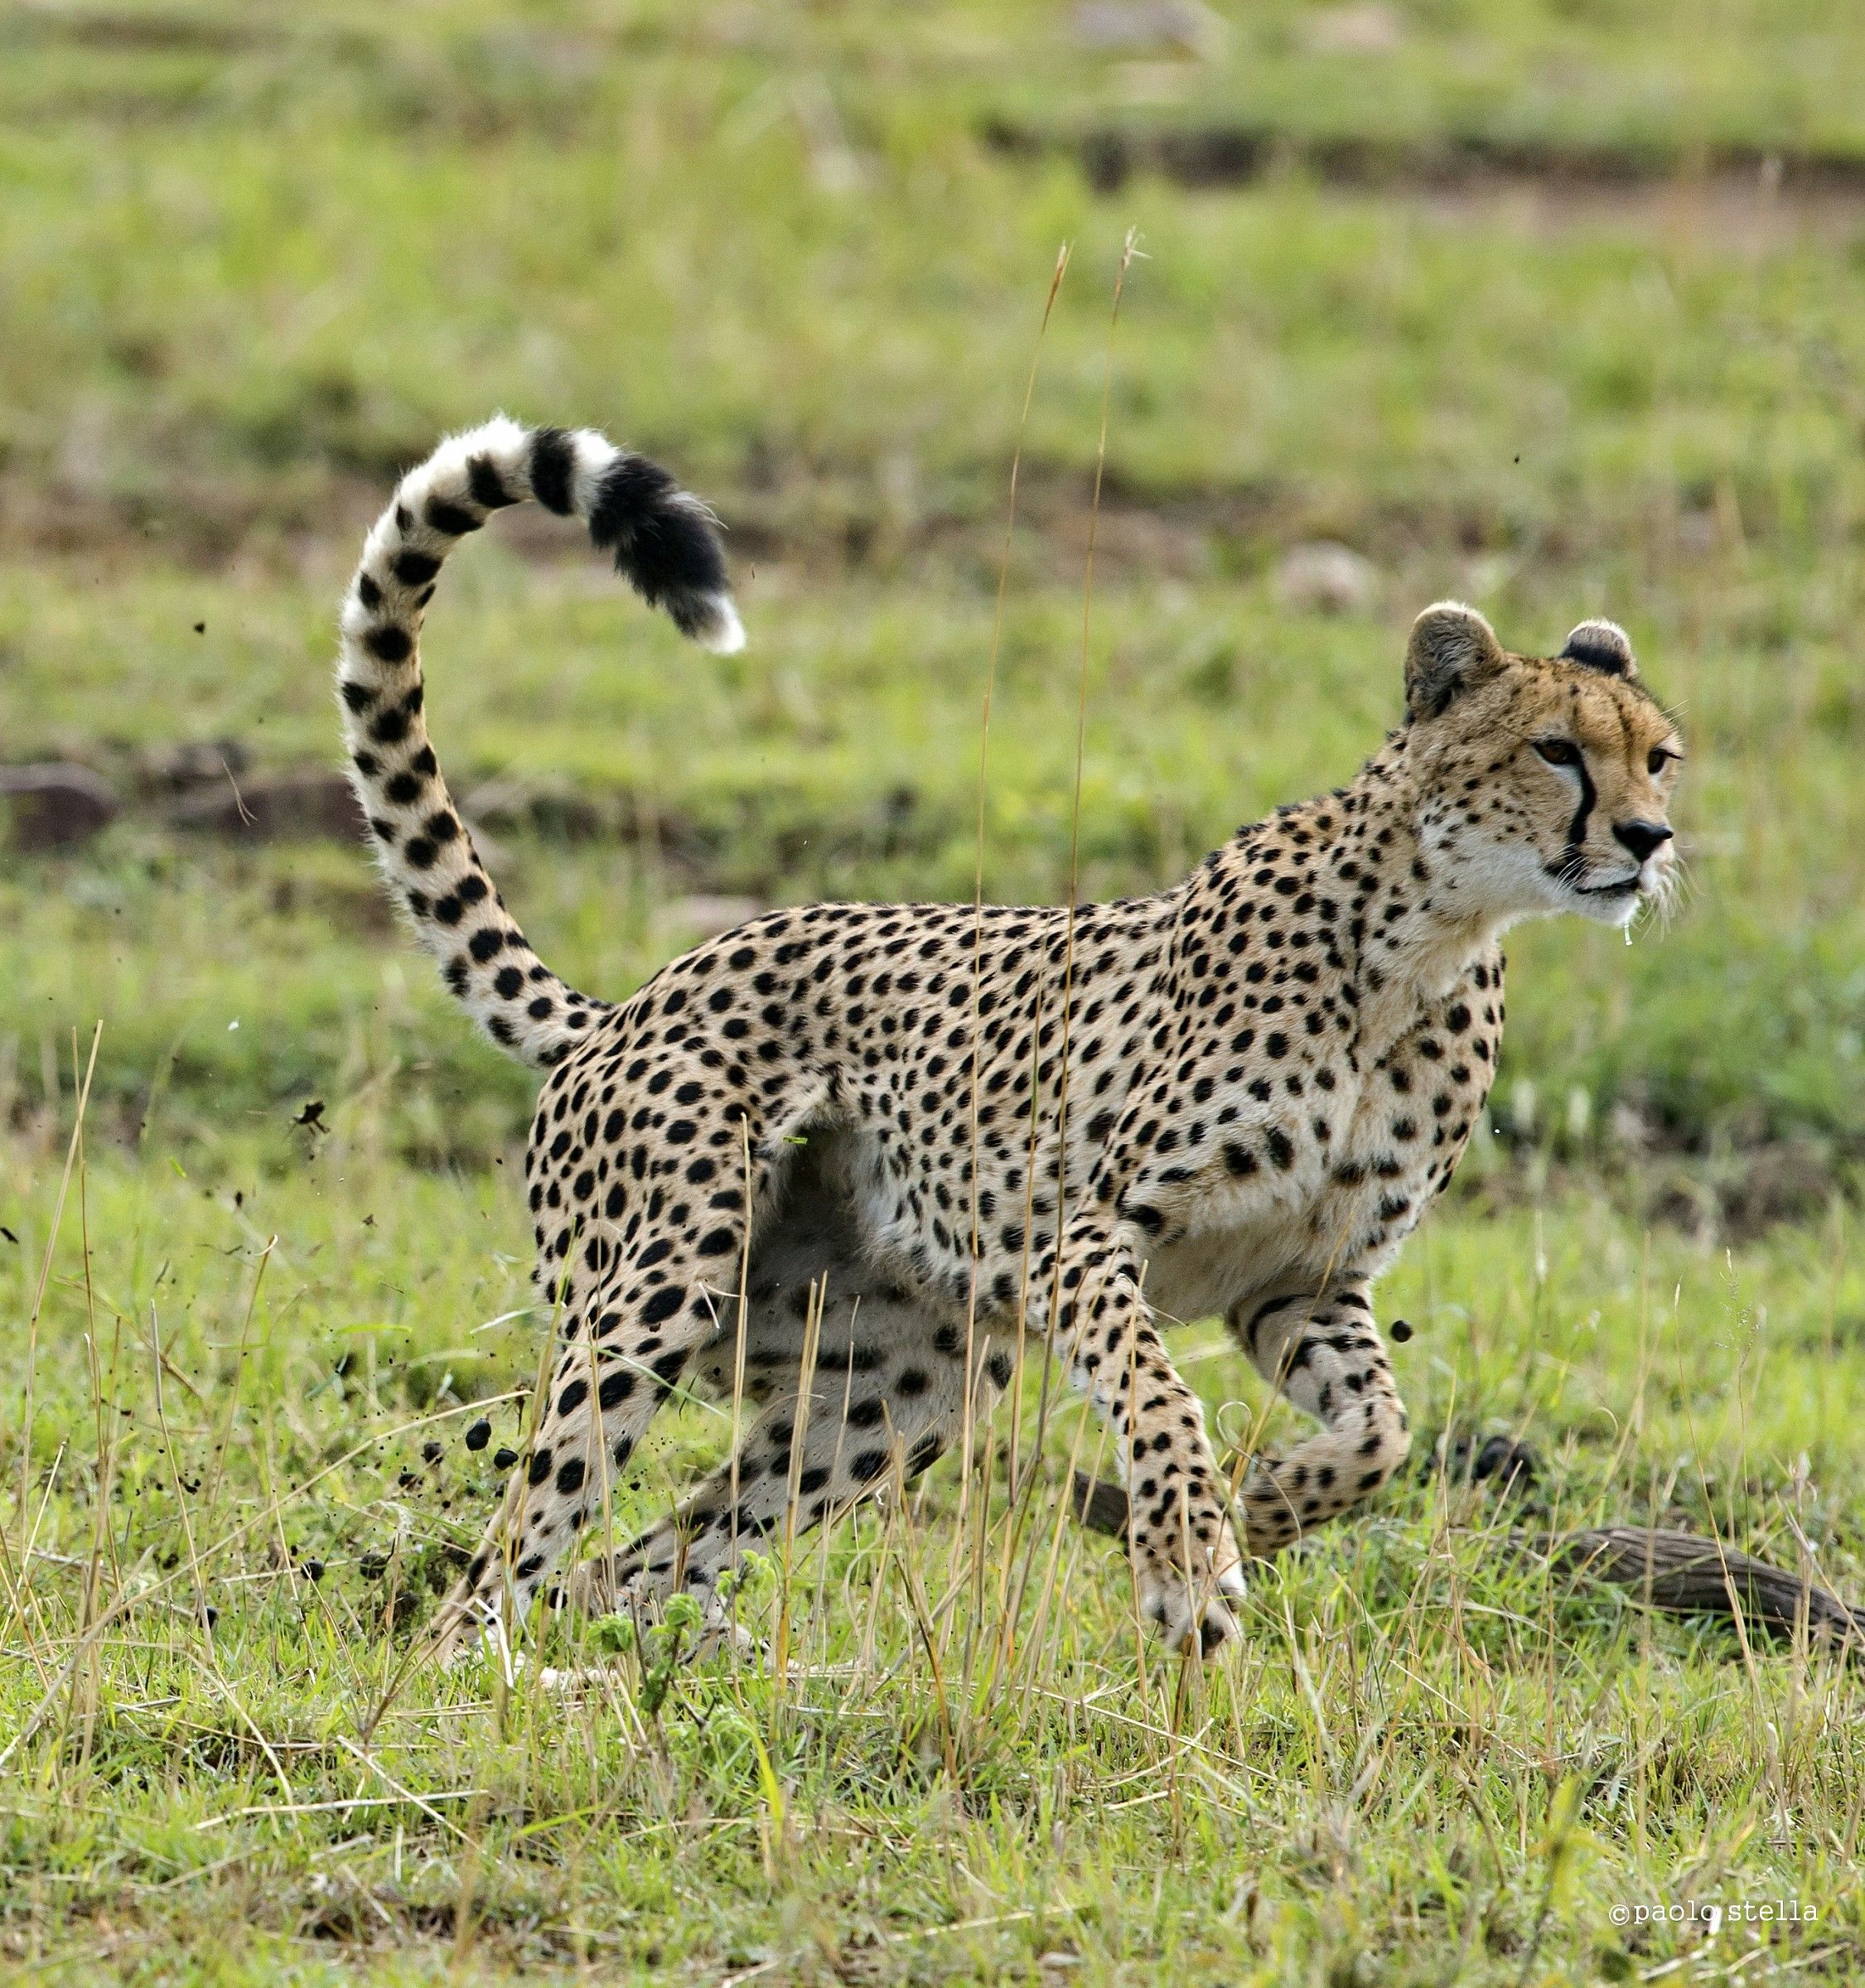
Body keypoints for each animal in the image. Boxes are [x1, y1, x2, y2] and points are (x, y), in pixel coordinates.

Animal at [333, 416, 1683, 1663]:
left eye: (1658, 756)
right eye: (1556, 751)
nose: (1648, 838)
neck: (1424, 944)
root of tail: (625, 1007)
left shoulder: (1300, 1282)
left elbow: (1381, 1437)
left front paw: (1272, 1505)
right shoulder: (1085, 1242)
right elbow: (1159, 1397)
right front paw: (1187, 1563)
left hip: (898, 1385)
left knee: (632, 1561)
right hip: (666, 1277)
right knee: (513, 1553)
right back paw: (486, 1683)